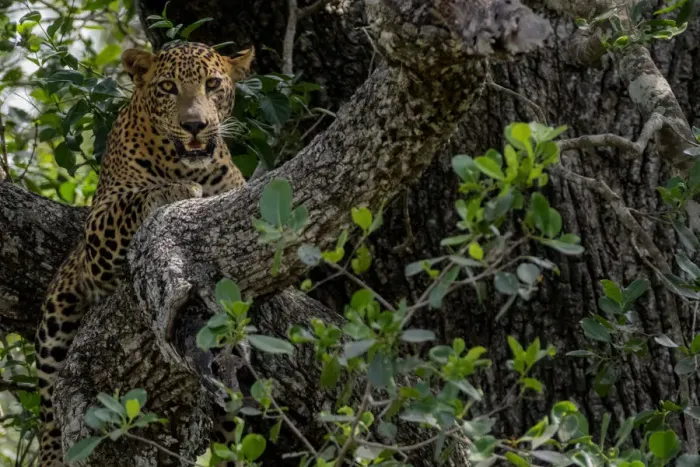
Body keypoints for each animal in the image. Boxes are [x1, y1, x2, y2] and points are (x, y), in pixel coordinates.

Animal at [35, 41, 254, 466]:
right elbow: (136, 201)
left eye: (213, 84)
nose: (194, 125)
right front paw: (174, 190)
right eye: (168, 87)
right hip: (57, 316)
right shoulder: (100, 233)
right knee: (49, 408)